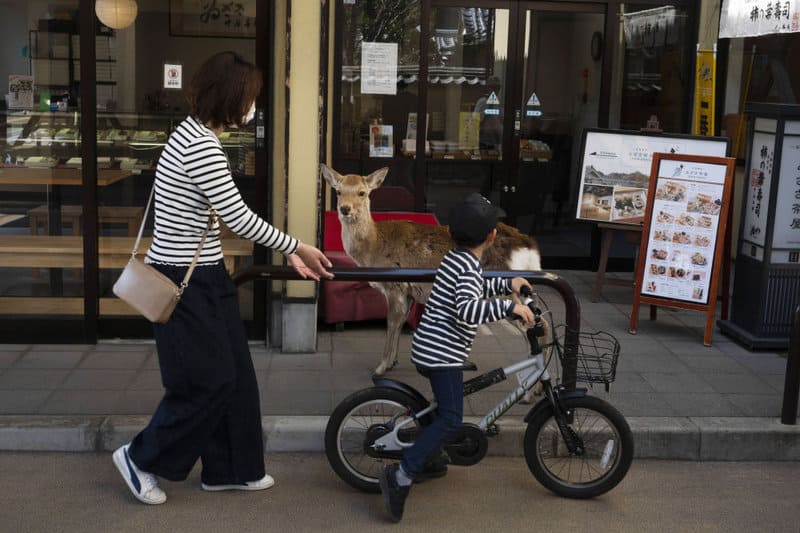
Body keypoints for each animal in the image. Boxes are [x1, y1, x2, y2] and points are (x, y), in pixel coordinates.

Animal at [322, 162, 548, 378]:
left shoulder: (395, 285)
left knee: (537, 324)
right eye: (338, 191)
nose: (345, 209)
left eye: (362, 192)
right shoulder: (409, 292)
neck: (374, 245)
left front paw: (380, 367)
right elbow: (401, 322)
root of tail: (530, 248)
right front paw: (393, 362)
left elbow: (391, 323)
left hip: (505, 290)